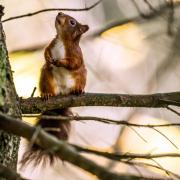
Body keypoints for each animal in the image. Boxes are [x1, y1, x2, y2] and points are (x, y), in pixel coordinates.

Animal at [21, 11, 89, 166]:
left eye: (72, 22)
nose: (59, 12)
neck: (61, 40)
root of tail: (62, 93)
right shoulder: (50, 45)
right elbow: (46, 51)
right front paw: (48, 57)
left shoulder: (76, 54)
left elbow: (74, 63)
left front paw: (61, 62)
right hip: (47, 76)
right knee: (48, 81)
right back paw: (47, 94)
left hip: (81, 77)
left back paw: (77, 90)